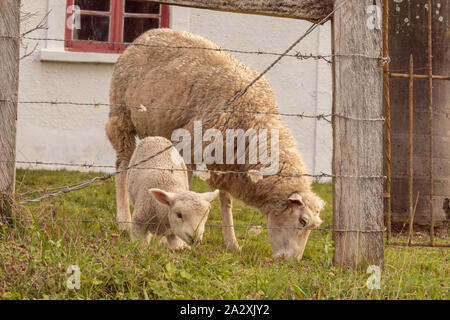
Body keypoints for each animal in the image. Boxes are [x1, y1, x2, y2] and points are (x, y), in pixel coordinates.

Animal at [105, 28, 324, 260]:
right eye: (302, 221)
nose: (292, 261)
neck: (254, 117)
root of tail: (149, 33)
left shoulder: (227, 163)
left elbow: (226, 202)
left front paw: (232, 243)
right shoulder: (190, 146)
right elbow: (185, 189)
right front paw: (174, 239)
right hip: (122, 117)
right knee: (122, 166)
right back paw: (123, 220)